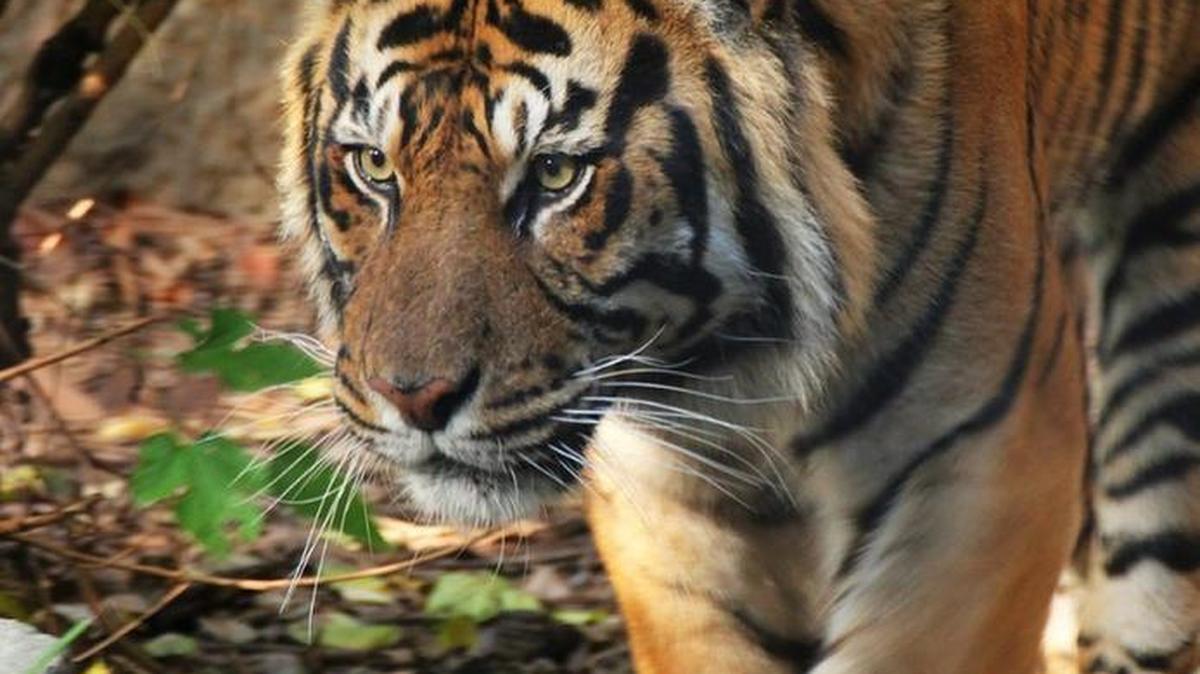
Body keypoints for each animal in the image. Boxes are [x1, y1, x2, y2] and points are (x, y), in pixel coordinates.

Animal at [278, 0, 1200, 671]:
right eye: (373, 165)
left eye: (556, 173)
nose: (413, 398)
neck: (741, 361)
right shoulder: (671, 496)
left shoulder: (981, 463)